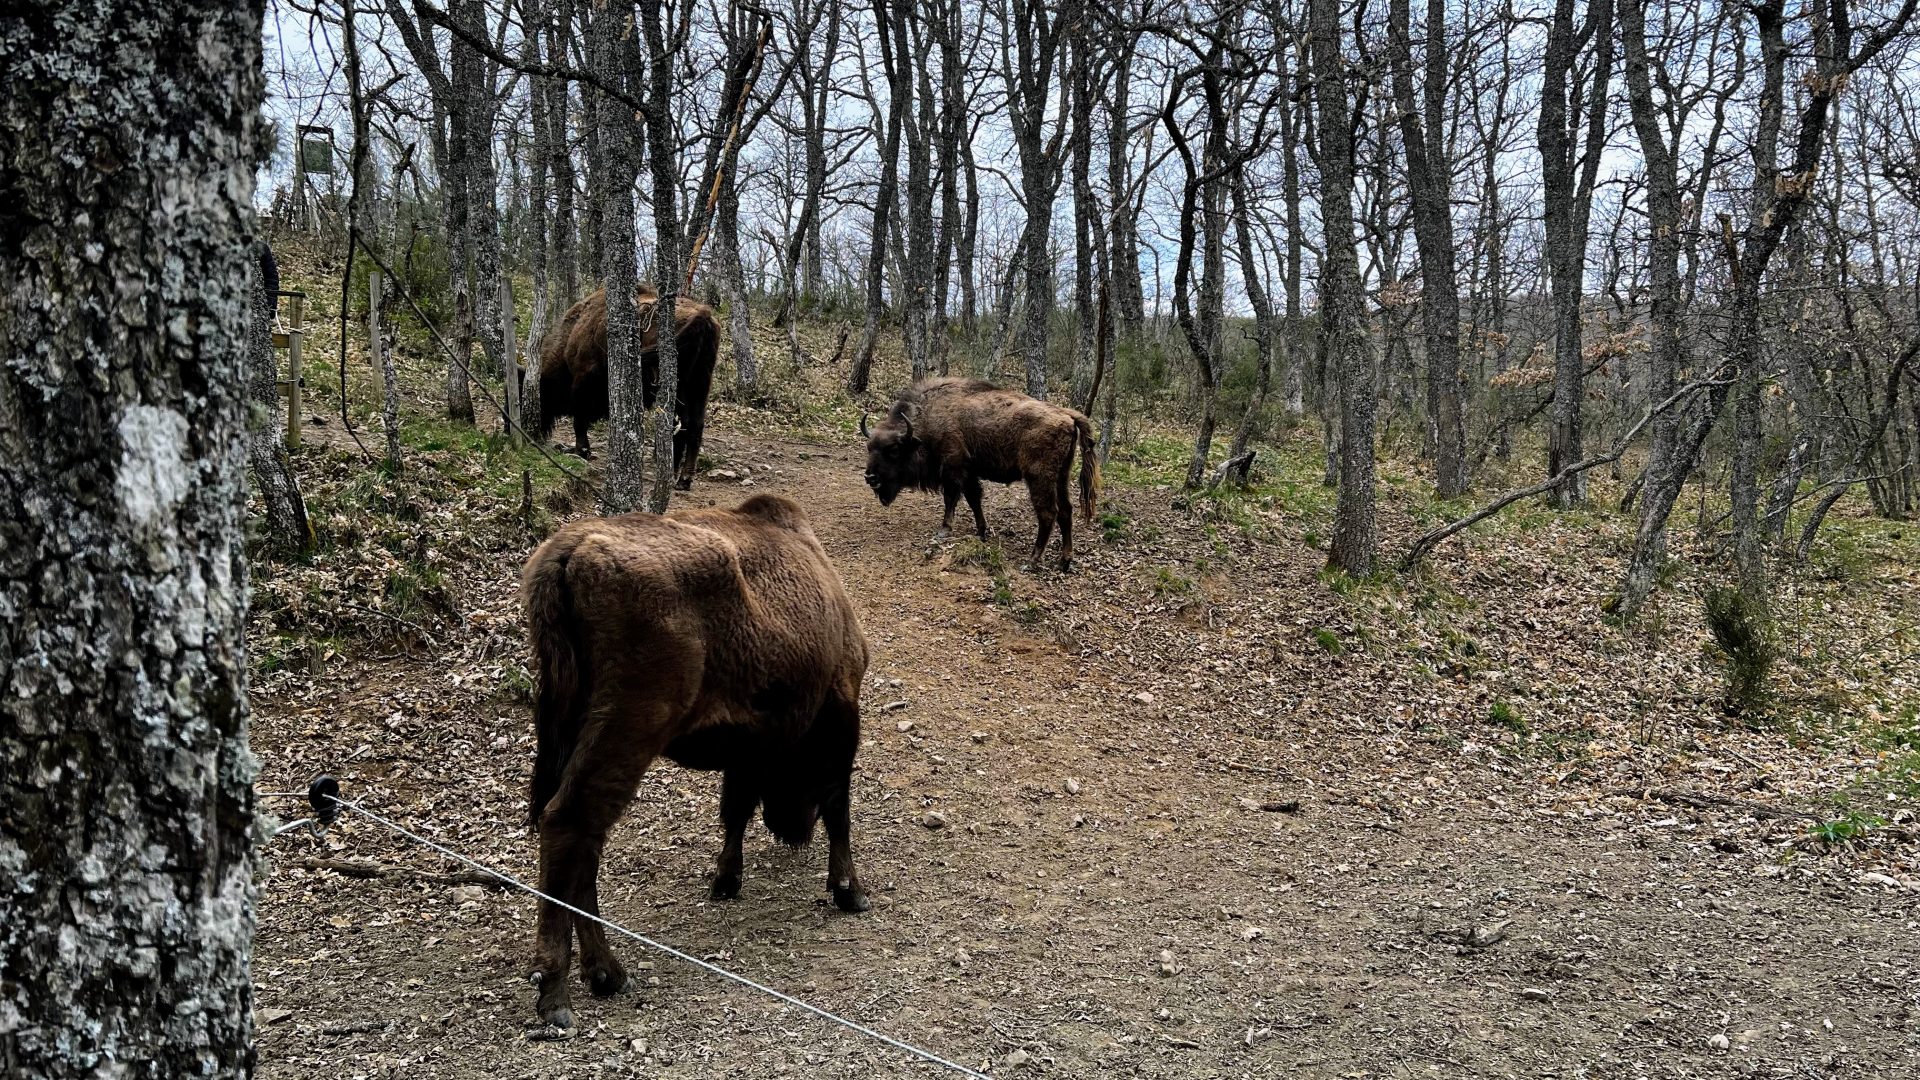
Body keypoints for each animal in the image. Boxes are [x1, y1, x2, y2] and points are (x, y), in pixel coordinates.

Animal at [521, 494, 870, 1029]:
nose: (791, 831)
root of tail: (571, 550)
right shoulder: (840, 711)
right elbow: (838, 809)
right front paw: (850, 891)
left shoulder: (748, 746)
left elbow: (735, 810)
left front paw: (726, 881)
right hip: (628, 729)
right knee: (570, 824)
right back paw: (561, 994)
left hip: (572, 723)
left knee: (582, 838)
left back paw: (607, 975)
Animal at [532, 284, 719, 488]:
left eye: (542, 393)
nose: (536, 433)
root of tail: (703, 315)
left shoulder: (583, 381)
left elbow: (579, 421)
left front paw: (580, 451)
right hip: (701, 383)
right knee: (696, 425)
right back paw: (684, 479)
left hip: (679, 387)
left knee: (683, 425)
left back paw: (674, 474)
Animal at [862, 376, 1101, 570]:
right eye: (869, 448)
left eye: (894, 450)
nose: (870, 477)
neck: (929, 417)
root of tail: (1068, 415)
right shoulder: (969, 473)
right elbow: (974, 499)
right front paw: (982, 532)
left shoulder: (953, 469)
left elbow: (951, 499)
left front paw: (944, 530)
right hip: (1062, 476)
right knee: (1066, 511)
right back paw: (1065, 561)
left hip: (1039, 478)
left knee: (1048, 513)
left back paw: (1031, 561)